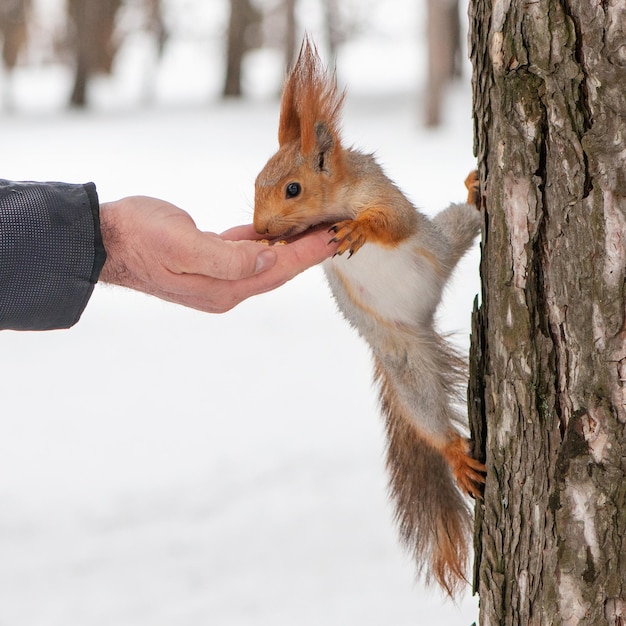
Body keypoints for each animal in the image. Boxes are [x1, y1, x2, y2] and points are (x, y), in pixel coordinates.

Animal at [252, 39, 482, 596]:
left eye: (292, 189)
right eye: (256, 182)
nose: (259, 228)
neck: (334, 202)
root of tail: (422, 316)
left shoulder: (381, 193)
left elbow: (390, 222)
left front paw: (359, 230)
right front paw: (277, 244)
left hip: (444, 239)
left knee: (463, 219)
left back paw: (474, 194)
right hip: (406, 363)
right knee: (427, 415)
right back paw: (453, 452)